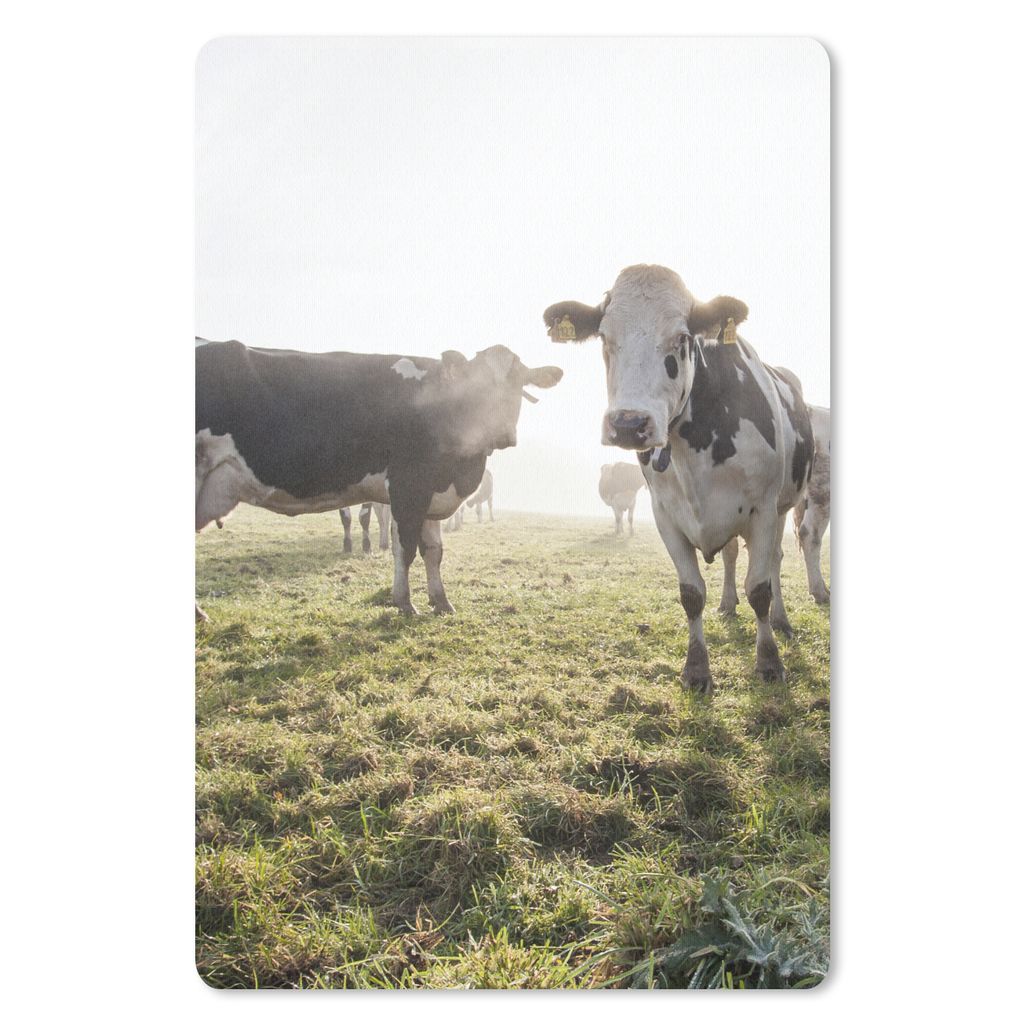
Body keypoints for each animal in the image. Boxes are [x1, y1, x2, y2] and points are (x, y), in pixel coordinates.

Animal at [196, 339, 562, 619]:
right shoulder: (409, 486)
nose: (502, 434)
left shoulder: (430, 492)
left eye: (519, 383)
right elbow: (407, 548)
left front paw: (441, 602)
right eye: (475, 385)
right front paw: (405, 604)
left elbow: (433, 551)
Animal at [544, 265, 813, 693]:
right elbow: (691, 594)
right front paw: (697, 668)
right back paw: (727, 604)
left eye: (682, 338)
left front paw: (769, 661)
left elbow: (760, 589)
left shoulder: (764, 509)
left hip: (785, 505)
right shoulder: (665, 514)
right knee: (732, 556)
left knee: (773, 561)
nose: (629, 424)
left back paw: (782, 621)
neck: (697, 443)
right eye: (604, 337)